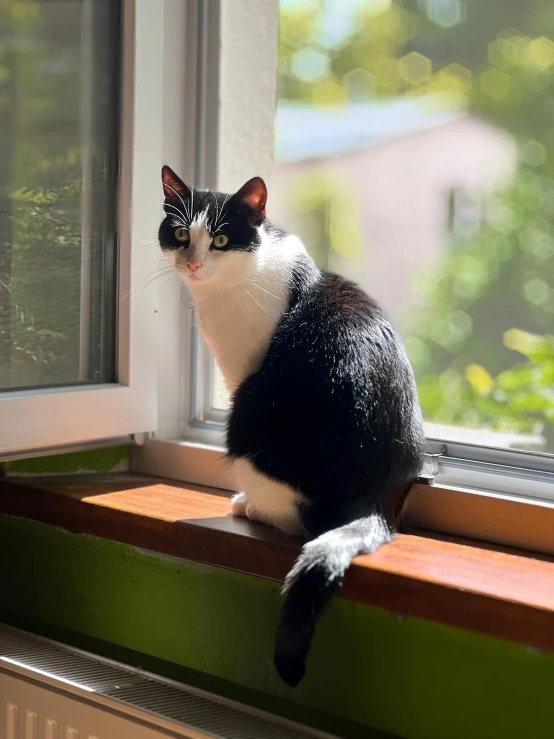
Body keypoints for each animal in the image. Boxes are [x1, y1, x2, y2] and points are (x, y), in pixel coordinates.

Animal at [158, 166, 422, 688]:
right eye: (179, 234)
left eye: (220, 239)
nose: (192, 263)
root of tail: (374, 495)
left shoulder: (241, 368)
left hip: (248, 419)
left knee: (297, 517)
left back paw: (250, 506)